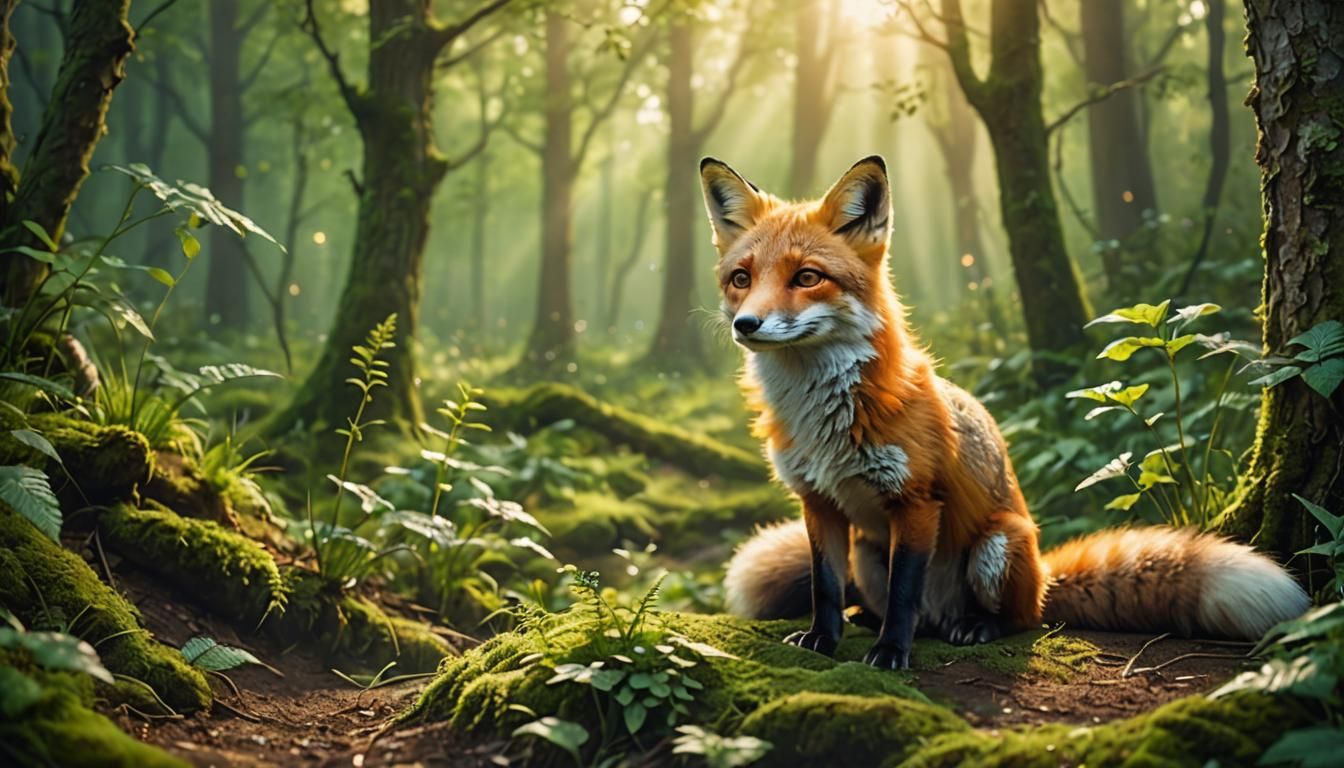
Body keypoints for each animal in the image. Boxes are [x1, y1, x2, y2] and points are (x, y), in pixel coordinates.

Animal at [699, 154, 1311, 670]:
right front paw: (823, 640)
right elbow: (824, 587)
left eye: (807, 277)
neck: (822, 418)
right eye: (741, 279)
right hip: (868, 555)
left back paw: (975, 627)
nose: (746, 324)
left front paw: (891, 653)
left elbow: (904, 595)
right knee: (897, 604)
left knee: (1018, 618)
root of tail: (1044, 576)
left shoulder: (917, 502)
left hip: (996, 548)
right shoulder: (818, 500)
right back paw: (869, 618)